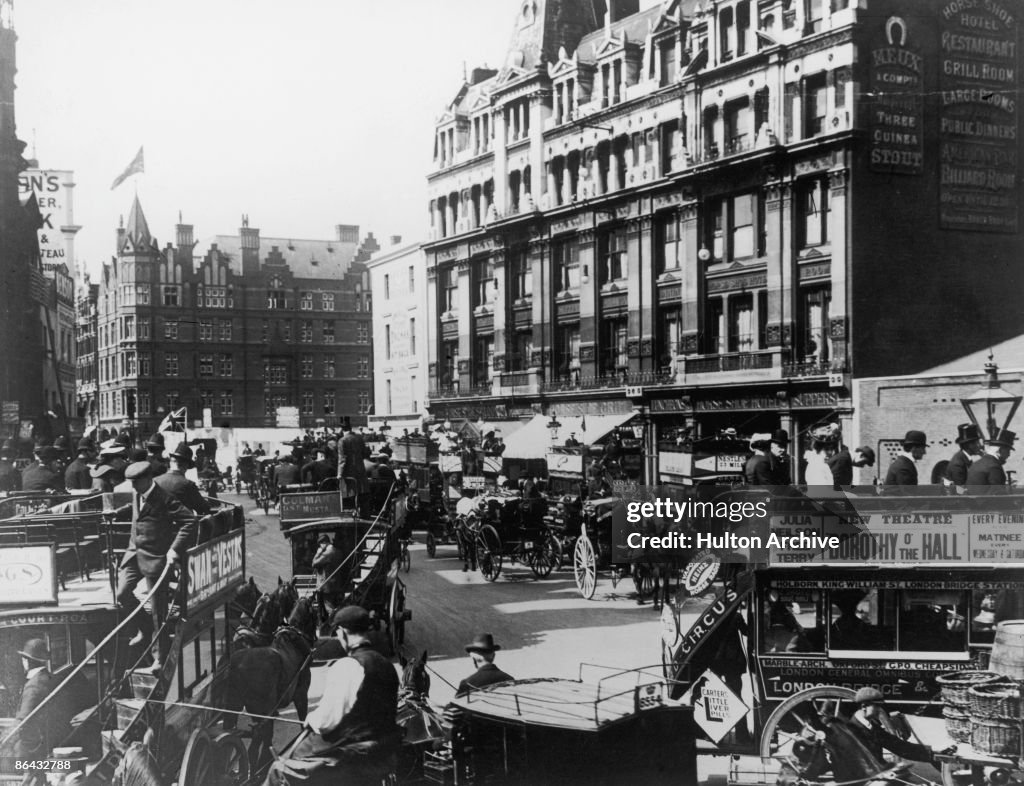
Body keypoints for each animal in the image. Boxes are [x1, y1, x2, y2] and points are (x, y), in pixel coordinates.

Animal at [224, 597, 315, 773]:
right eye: (315, 612)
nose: (316, 637)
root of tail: (238, 666)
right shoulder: (301, 696)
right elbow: (302, 721)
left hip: (237, 706)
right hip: (263, 710)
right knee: (255, 745)